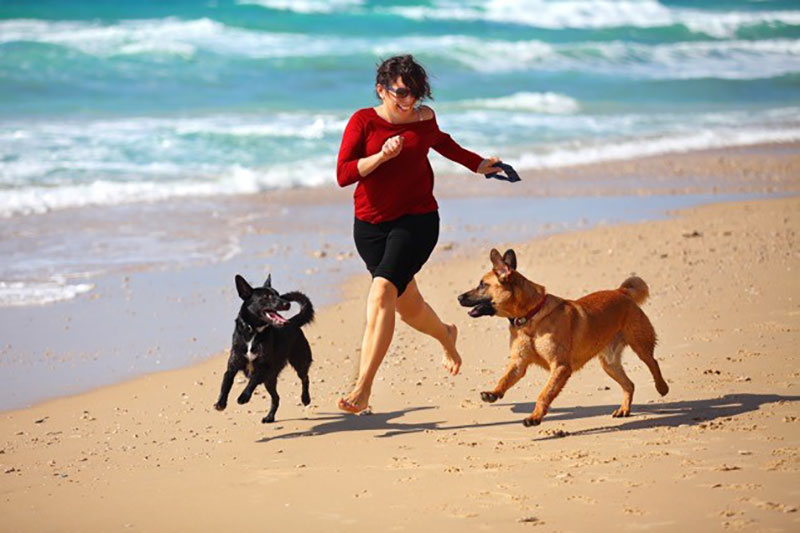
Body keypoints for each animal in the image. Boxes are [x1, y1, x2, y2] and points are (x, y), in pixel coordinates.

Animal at [214, 274, 314, 420]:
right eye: (266, 297)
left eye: (278, 294)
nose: (287, 304)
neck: (253, 332)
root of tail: (293, 322)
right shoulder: (232, 367)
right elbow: (225, 384)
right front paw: (221, 403)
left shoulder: (263, 367)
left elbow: (252, 381)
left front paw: (243, 397)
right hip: (269, 380)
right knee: (276, 398)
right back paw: (269, 417)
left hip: (299, 361)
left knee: (305, 378)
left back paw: (305, 398)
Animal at [456, 247, 668, 426]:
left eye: (482, 285)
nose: (458, 297)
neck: (530, 317)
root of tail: (621, 292)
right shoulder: (518, 364)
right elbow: (504, 380)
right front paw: (493, 393)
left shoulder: (560, 367)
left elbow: (544, 394)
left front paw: (535, 417)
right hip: (609, 364)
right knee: (629, 385)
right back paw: (624, 409)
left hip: (640, 345)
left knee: (653, 363)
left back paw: (662, 387)